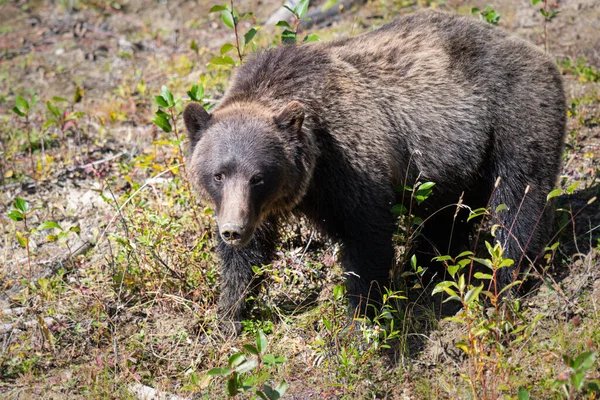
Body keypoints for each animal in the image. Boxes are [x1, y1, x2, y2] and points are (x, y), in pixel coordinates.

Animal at [183, 11, 564, 332]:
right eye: (218, 174)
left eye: (258, 176)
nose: (232, 230)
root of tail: (535, 50)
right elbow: (249, 256)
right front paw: (230, 314)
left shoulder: (350, 160)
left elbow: (366, 236)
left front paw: (361, 318)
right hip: (459, 162)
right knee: (445, 217)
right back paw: (428, 268)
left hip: (514, 118)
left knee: (518, 203)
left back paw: (504, 282)